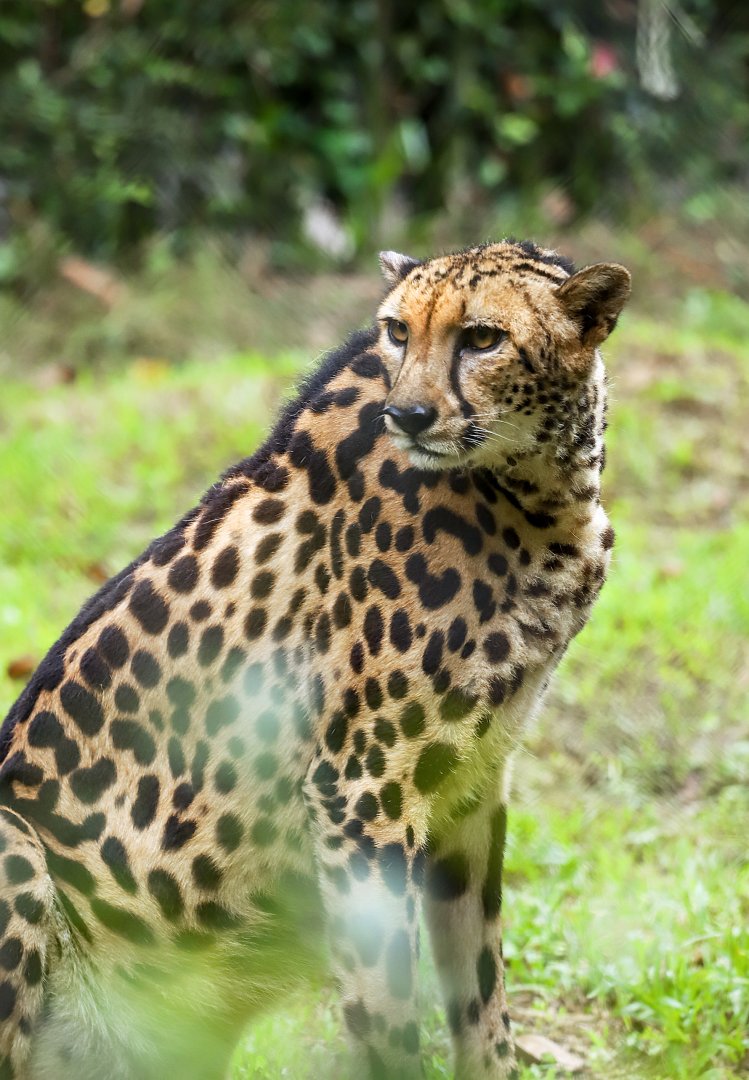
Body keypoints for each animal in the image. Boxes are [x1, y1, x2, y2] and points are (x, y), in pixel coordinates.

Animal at [0, 239, 630, 1080]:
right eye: (397, 330)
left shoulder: (469, 787)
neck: (540, 490)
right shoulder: (360, 790)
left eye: (482, 338)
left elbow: (481, 1000)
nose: (408, 415)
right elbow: (387, 1007)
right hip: (13, 845)